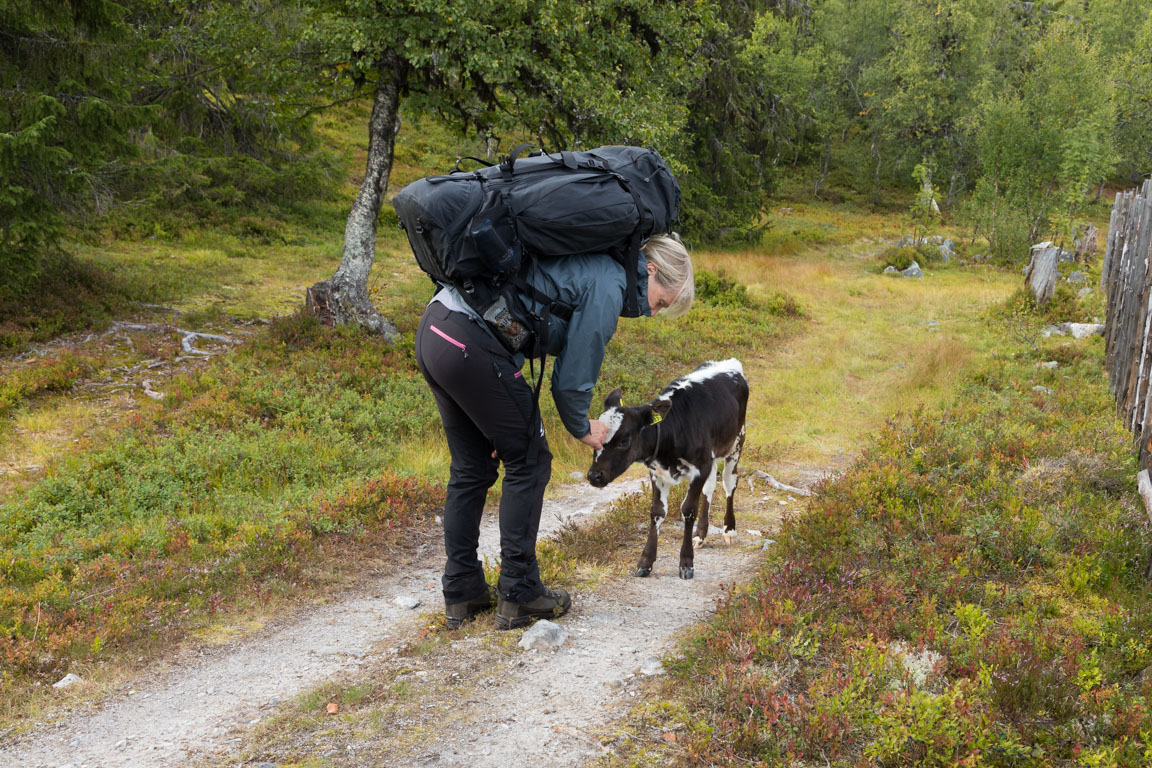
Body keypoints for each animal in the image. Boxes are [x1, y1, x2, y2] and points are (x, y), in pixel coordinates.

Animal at [585, 361, 746, 582]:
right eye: (595, 437)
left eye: (624, 441)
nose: (594, 476)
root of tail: (727, 363)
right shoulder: (658, 473)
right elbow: (657, 511)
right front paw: (645, 563)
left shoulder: (700, 467)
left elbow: (688, 510)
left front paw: (686, 563)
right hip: (713, 457)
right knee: (710, 487)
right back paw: (700, 535)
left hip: (736, 442)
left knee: (729, 484)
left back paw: (729, 530)